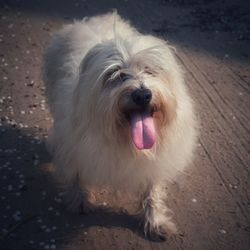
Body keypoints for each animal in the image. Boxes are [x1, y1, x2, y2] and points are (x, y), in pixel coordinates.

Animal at [43, 12, 197, 240]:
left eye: (150, 70)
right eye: (116, 74)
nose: (142, 94)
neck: (124, 139)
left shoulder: (155, 161)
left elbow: (152, 191)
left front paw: (155, 221)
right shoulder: (72, 145)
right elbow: (75, 175)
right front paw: (79, 201)